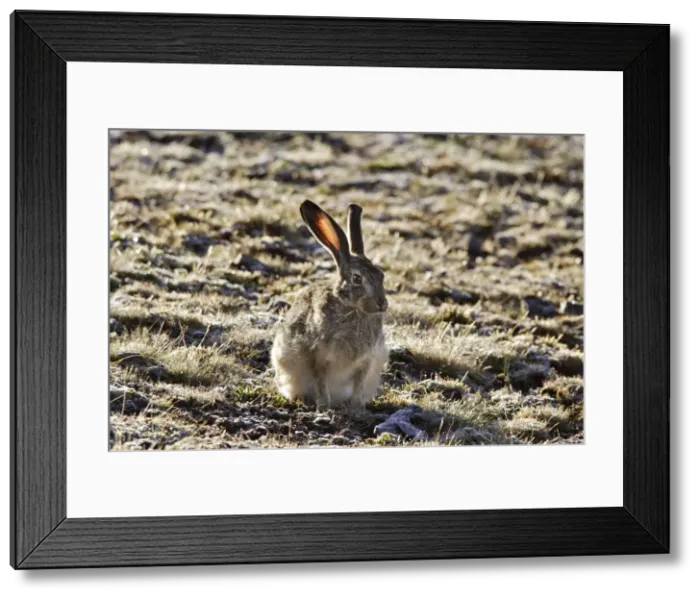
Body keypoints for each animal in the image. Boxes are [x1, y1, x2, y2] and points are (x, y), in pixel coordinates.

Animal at [271, 200, 389, 414]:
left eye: (381, 275)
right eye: (357, 278)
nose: (381, 303)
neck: (352, 307)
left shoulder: (367, 361)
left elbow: (358, 384)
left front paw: (357, 409)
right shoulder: (318, 357)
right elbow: (320, 381)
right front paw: (324, 407)